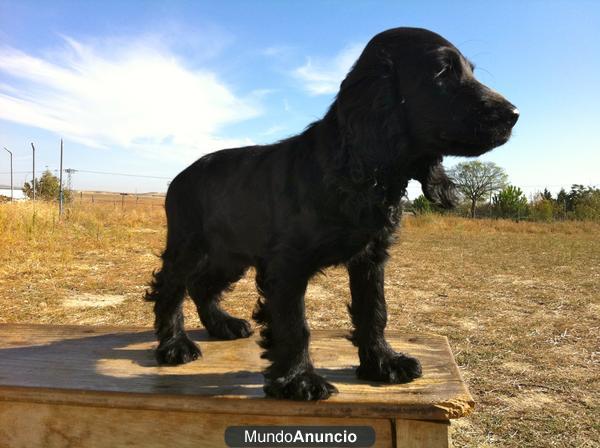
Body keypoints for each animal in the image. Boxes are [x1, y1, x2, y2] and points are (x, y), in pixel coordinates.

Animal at [146, 26, 520, 400]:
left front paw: (383, 363)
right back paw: (175, 345)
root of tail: (180, 176)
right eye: (443, 72)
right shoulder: (287, 265)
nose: (514, 114)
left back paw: (223, 325)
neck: (353, 166)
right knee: (170, 288)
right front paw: (299, 380)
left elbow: (374, 311)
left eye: (471, 70)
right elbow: (294, 325)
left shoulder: (371, 258)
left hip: (230, 255)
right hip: (188, 246)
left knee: (201, 285)